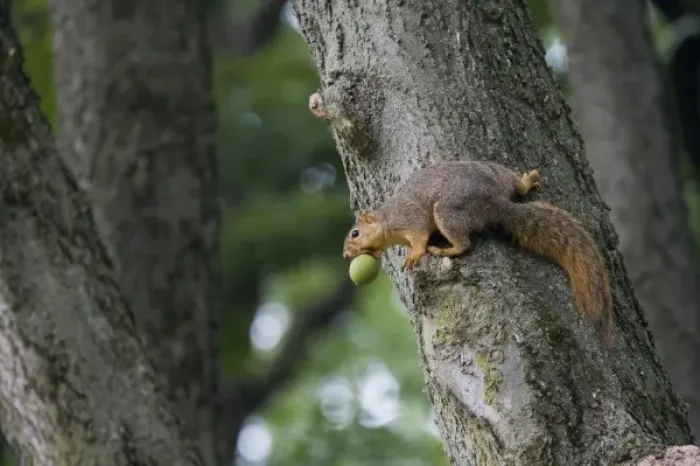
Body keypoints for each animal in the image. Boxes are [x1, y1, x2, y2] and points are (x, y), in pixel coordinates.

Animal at [342, 160, 612, 343]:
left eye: (355, 233)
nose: (345, 255)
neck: (387, 219)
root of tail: (495, 202)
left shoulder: (409, 220)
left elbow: (419, 239)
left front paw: (415, 256)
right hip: (495, 173)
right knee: (515, 187)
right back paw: (525, 181)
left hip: (447, 212)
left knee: (464, 244)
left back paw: (447, 250)